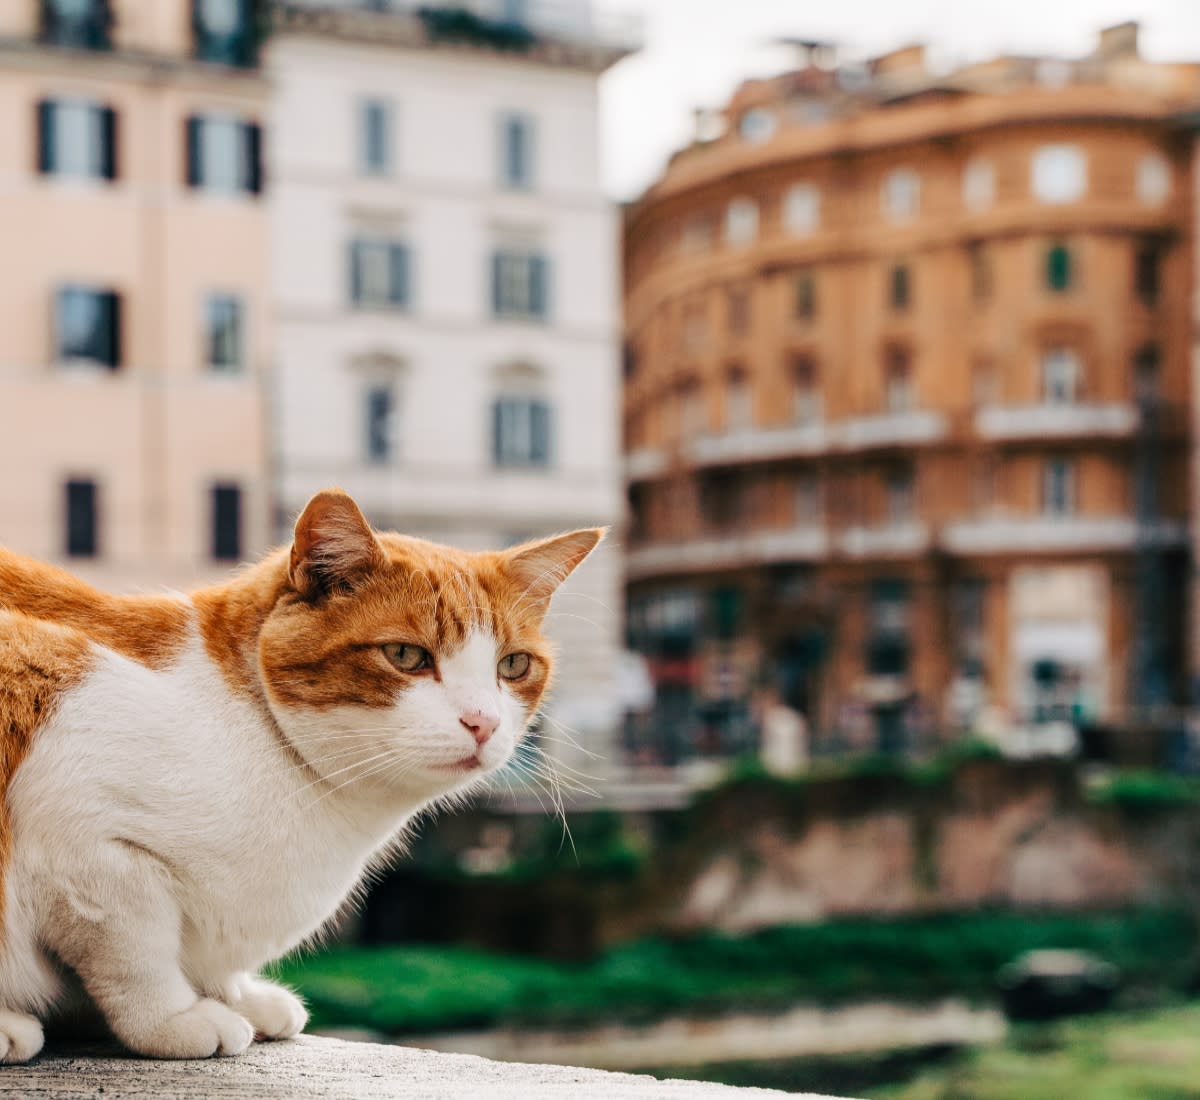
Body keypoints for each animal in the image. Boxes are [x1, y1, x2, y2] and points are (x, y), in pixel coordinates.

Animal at [0, 489, 604, 1055]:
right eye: (406, 656)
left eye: (513, 665)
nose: (483, 722)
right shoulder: (85, 839)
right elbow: (137, 952)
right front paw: (174, 1018)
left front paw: (238, 995)